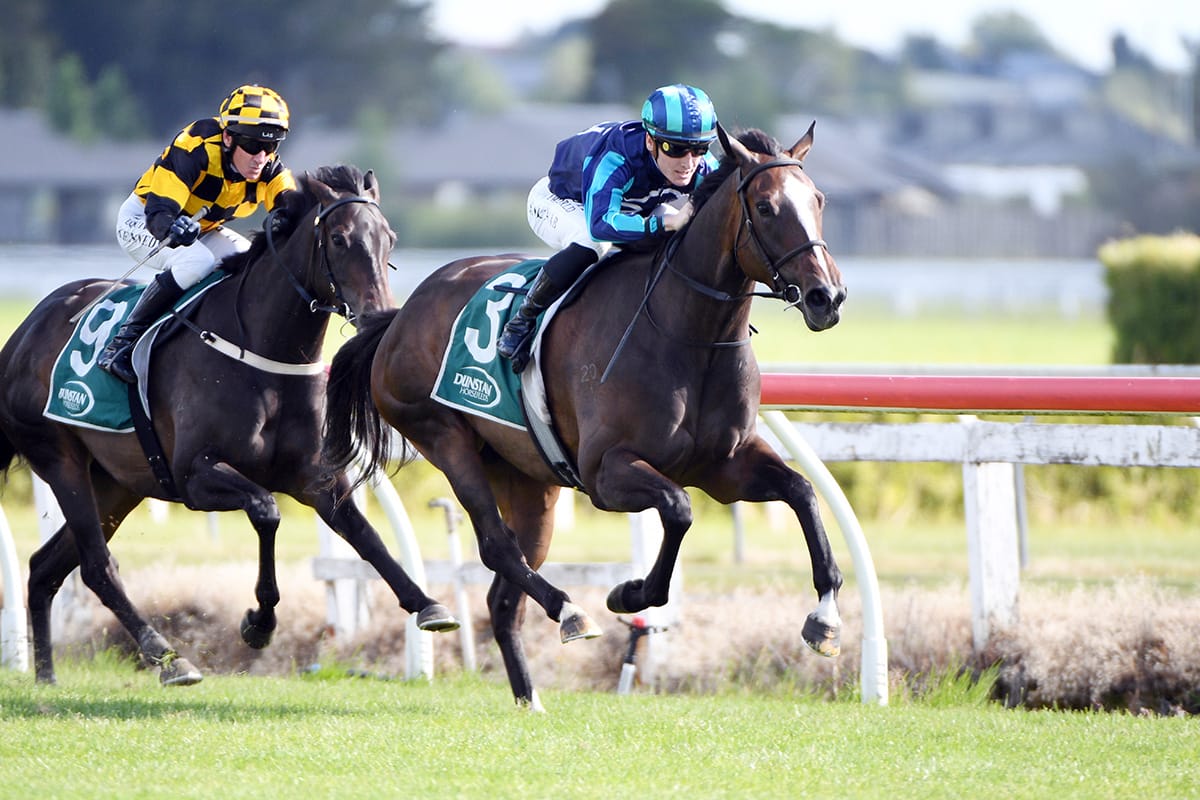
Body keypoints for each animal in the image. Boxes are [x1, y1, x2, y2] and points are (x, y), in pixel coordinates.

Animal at [0, 165, 457, 686]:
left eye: (389, 238)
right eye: (339, 238)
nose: (379, 314)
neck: (263, 353)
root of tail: (22, 334)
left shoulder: (316, 478)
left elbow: (367, 536)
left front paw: (427, 605)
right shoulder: (194, 477)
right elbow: (266, 511)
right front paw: (259, 623)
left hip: (117, 484)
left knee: (45, 567)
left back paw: (46, 676)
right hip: (61, 461)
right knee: (96, 566)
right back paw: (168, 657)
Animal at [323, 125, 846, 709]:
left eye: (818, 200)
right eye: (765, 206)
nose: (827, 296)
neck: (687, 331)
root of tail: (398, 318)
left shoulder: (726, 467)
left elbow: (802, 492)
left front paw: (824, 620)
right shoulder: (605, 473)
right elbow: (679, 508)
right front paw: (630, 593)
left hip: (528, 481)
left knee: (505, 593)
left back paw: (530, 695)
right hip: (443, 438)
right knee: (495, 544)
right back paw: (570, 611)